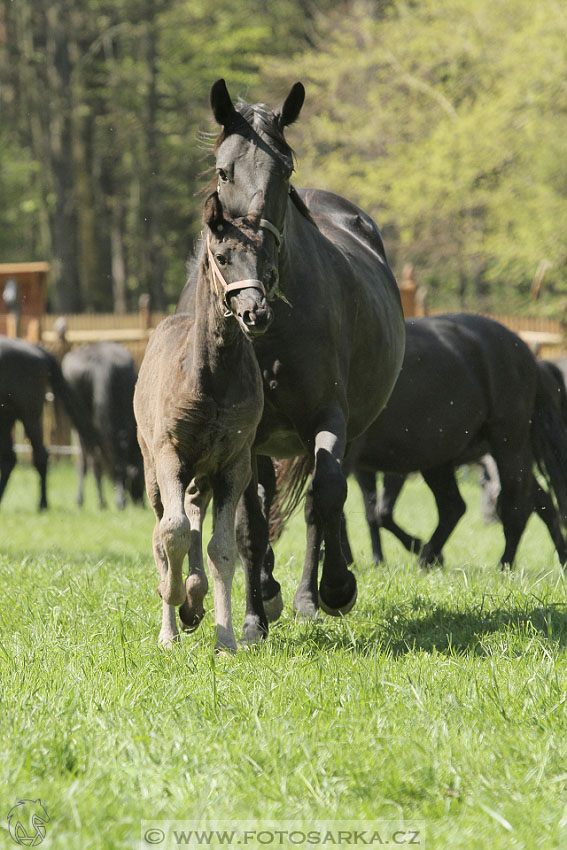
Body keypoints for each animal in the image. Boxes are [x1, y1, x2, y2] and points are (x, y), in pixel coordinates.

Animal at [0, 332, 98, 506]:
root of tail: (38, 351)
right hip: (7, 419)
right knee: (9, 459)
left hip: (29, 416)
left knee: (40, 455)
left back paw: (42, 504)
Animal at [134, 192, 280, 648]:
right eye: (221, 256)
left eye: (266, 258)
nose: (256, 313)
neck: (211, 378)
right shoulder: (170, 454)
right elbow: (173, 532)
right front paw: (173, 611)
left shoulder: (234, 463)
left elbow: (222, 549)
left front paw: (226, 640)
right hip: (153, 467)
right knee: (162, 529)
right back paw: (177, 610)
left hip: (203, 472)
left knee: (196, 511)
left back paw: (195, 601)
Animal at [178, 81, 404, 636]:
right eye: (223, 170)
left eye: (285, 169)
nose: (255, 257)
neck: (268, 335)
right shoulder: (243, 435)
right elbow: (249, 526)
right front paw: (255, 617)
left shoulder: (328, 417)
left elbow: (325, 497)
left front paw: (336, 588)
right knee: (264, 505)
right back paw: (270, 589)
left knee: (322, 504)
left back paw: (307, 594)